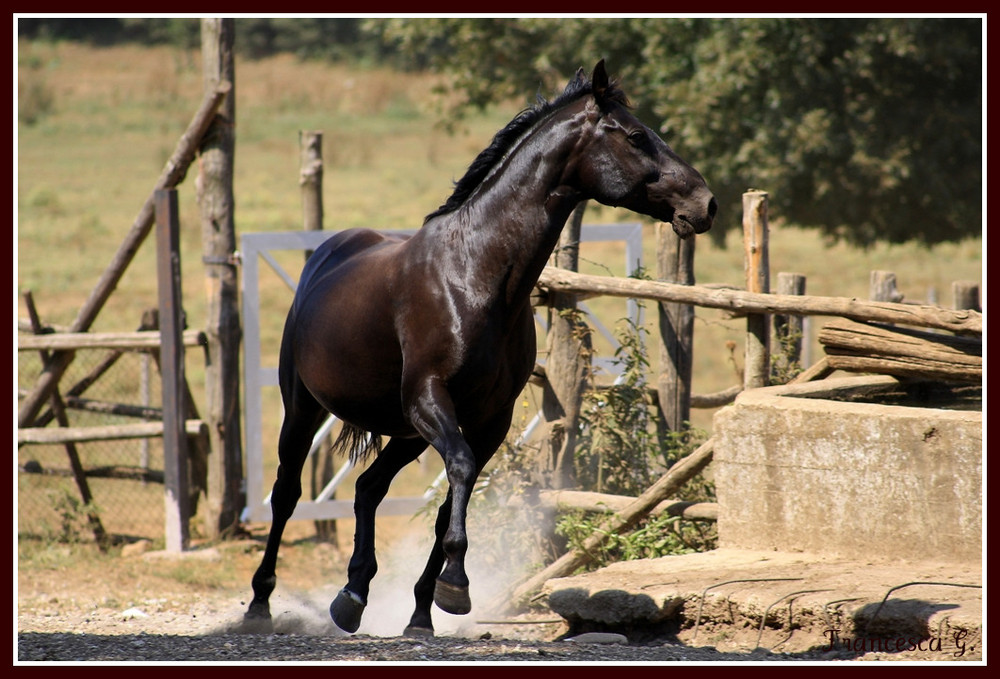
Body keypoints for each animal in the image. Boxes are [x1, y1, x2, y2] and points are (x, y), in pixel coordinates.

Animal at [243, 59, 716, 636]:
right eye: (634, 135)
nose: (706, 203)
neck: (474, 276)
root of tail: (328, 253)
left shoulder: (488, 419)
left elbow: (451, 498)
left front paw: (425, 611)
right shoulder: (431, 398)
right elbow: (461, 473)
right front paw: (455, 586)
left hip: (406, 432)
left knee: (368, 488)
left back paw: (352, 597)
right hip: (306, 408)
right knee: (288, 493)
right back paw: (261, 603)